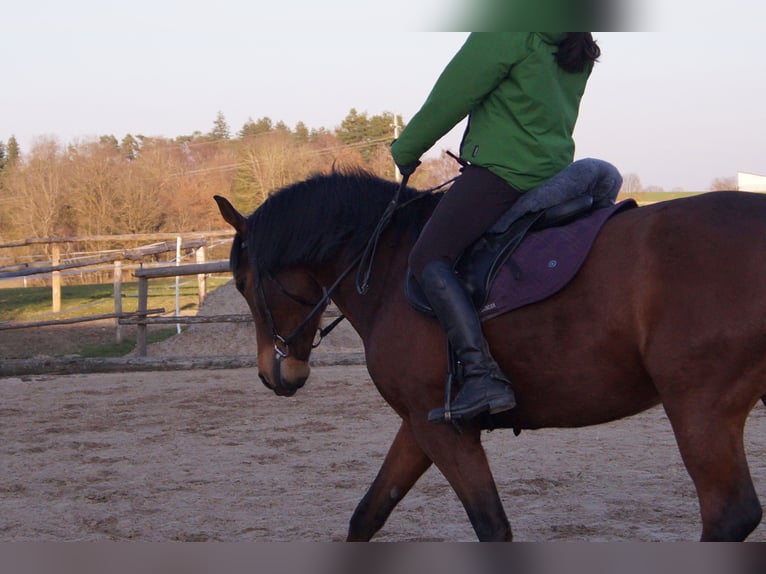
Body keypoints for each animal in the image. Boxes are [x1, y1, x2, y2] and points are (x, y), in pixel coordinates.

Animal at [213, 170, 766, 541]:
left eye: (241, 282)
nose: (274, 374)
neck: (388, 267)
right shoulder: (421, 422)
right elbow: (369, 513)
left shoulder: (444, 430)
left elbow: (491, 526)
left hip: (700, 408)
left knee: (729, 516)